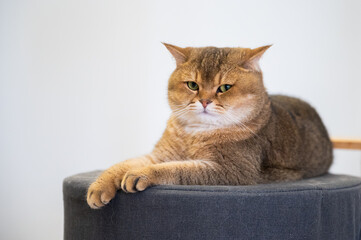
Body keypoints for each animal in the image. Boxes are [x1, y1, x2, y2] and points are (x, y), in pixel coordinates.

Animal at [86, 43, 332, 208]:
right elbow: (123, 163)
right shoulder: (160, 154)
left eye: (224, 88)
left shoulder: (231, 170)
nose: (204, 101)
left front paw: (142, 174)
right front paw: (99, 186)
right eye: (192, 85)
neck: (193, 133)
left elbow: (177, 169)